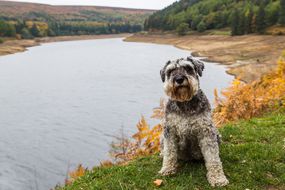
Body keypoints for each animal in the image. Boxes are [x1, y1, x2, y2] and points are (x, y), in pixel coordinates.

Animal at [159, 56, 227, 187]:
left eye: (188, 68)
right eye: (170, 71)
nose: (179, 79)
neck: (185, 102)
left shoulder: (207, 131)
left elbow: (213, 158)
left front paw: (218, 178)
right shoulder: (170, 131)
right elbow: (169, 152)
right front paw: (167, 169)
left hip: (217, 134)